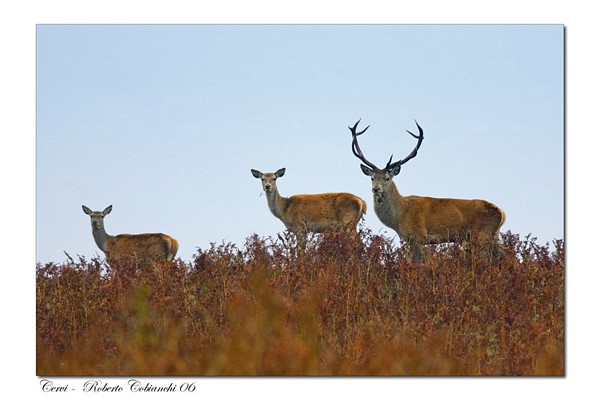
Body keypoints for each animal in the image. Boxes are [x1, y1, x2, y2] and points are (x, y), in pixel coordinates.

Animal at [346, 119, 506, 262]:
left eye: (387, 178)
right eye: (372, 178)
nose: (375, 188)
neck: (399, 217)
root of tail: (502, 213)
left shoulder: (417, 237)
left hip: (482, 234)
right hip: (492, 236)